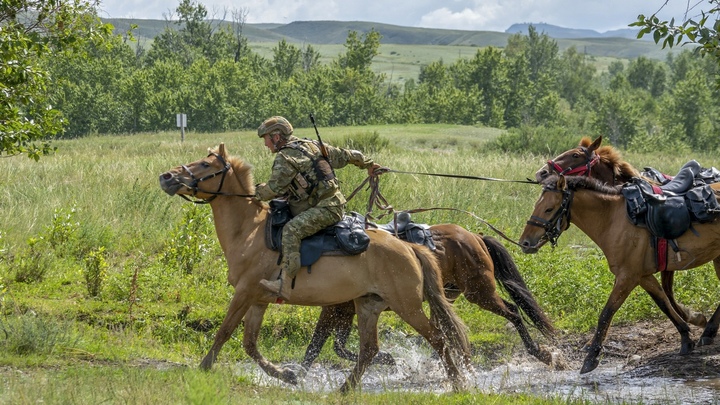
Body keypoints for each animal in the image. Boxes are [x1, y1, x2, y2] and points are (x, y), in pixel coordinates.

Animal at [159, 143, 472, 392]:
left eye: (205, 164)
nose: (167, 177)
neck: (249, 230)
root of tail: (409, 247)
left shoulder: (244, 293)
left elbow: (225, 331)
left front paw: (204, 366)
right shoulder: (258, 300)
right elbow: (250, 344)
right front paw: (286, 375)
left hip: (407, 307)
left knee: (438, 339)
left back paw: (457, 383)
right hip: (368, 305)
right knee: (369, 349)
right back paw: (345, 389)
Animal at [300, 227, 556, 370]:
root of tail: (475, 236)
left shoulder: (341, 309)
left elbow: (327, 344)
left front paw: (388, 360)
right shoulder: (340, 309)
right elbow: (325, 345)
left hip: (479, 293)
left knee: (513, 311)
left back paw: (540, 353)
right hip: (451, 295)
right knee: (447, 329)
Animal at [516, 174, 720, 372]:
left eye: (549, 209)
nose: (525, 242)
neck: (613, 219)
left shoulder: (627, 277)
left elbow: (606, 313)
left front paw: (591, 358)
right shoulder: (642, 276)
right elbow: (663, 302)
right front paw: (686, 337)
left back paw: (709, 331)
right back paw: (707, 331)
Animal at [536, 136, 708, 328]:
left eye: (575, 155)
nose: (541, 173)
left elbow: (667, 292)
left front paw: (694, 317)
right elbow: (666, 293)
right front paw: (693, 317)